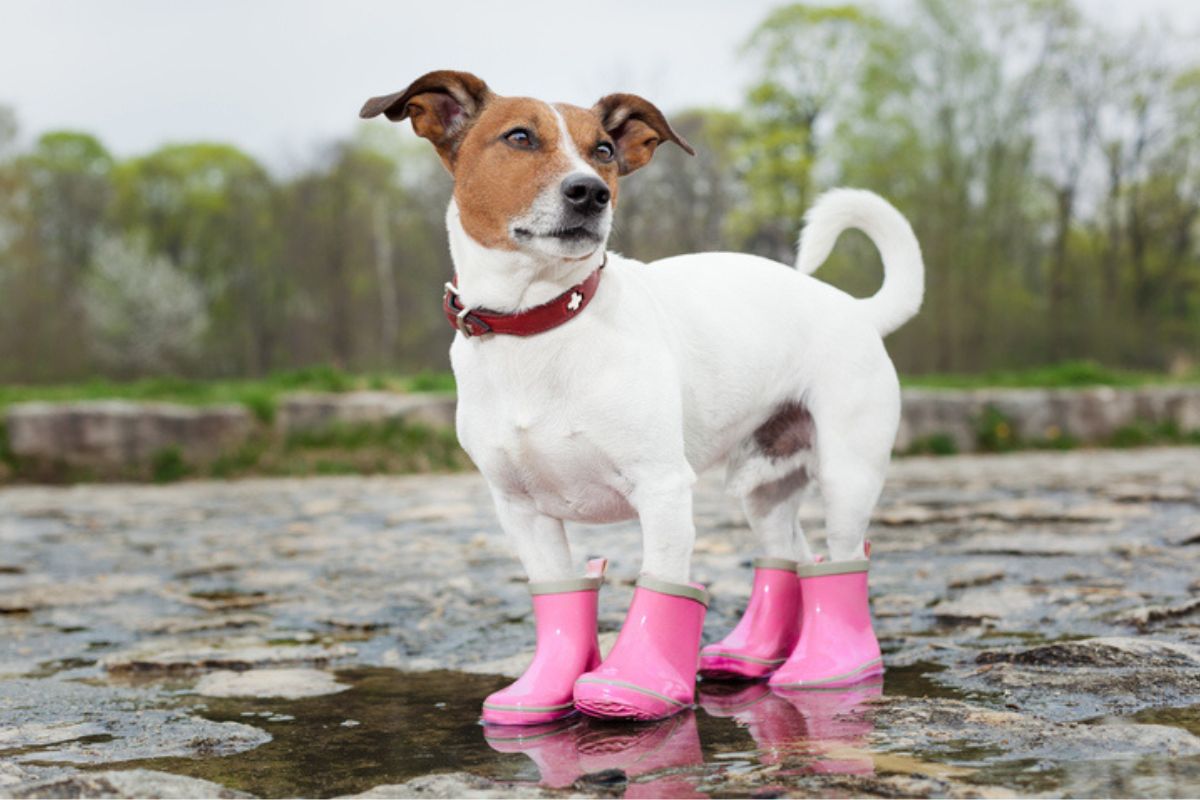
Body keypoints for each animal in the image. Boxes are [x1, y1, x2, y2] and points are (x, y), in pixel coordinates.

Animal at [360, 71, 921, 724]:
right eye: (519, 137)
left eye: (603, 150)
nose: (590, 192)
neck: (542, 323)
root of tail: (857, 310)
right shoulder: (521, 511)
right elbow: (558, 595)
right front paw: (543, 692)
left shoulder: (662, 489)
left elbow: (664, 585)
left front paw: (635, 686)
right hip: (762, 483)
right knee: (788, 555)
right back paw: (753, 655)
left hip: (847, 473)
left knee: (842, 559)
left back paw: (834, 668)